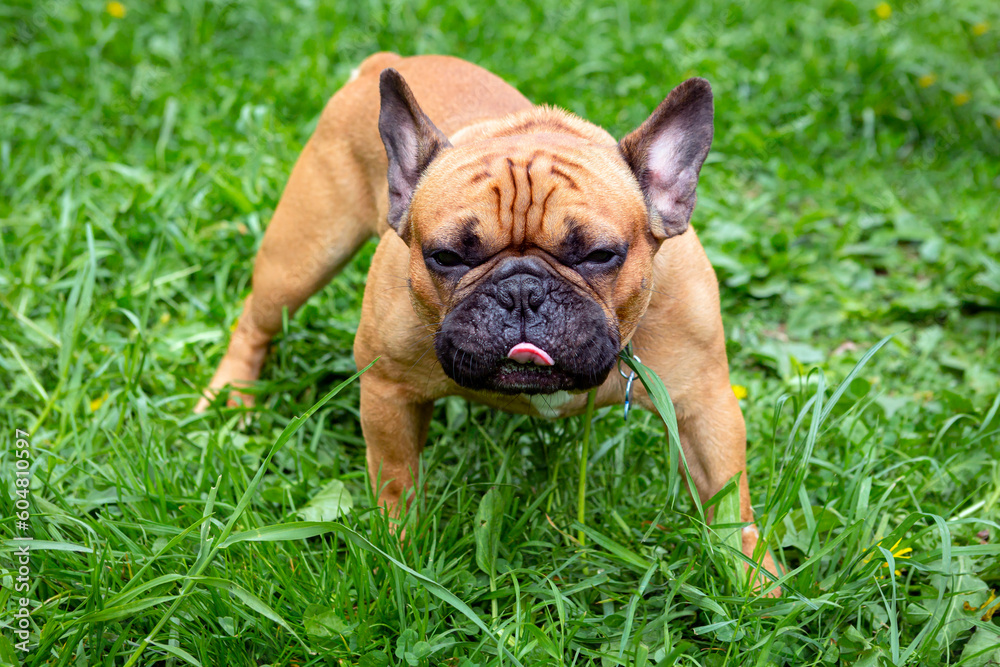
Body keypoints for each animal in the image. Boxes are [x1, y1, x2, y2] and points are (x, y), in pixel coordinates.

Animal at [197, 53, 780, 596]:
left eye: (599, 255)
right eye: (447, 257)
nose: (521, 293)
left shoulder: (704, 404)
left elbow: (731, 499)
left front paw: (754, 580)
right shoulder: (387, 390)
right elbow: (396, 480)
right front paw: (399, 551)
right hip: (304, 254)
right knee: (256, 321)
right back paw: (230, 398)